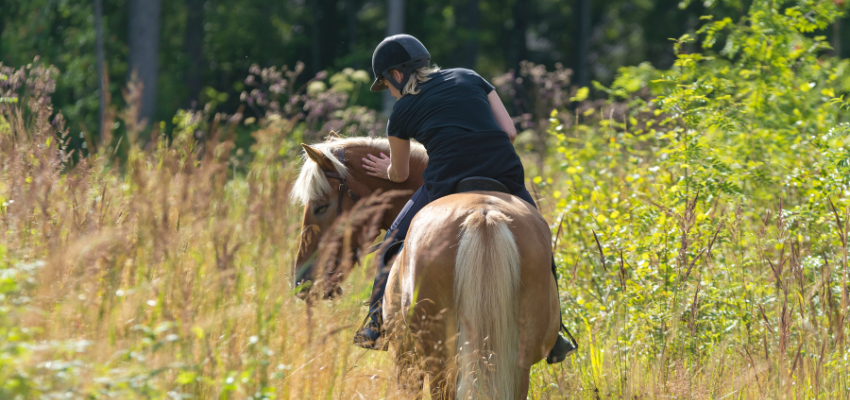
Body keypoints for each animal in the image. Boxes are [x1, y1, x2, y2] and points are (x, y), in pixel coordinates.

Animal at [288, 134, 560, 396]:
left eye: (321, 206)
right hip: (515, 364)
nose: (302, 280)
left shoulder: (404, 359)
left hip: (439, 362)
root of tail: (482, 215)